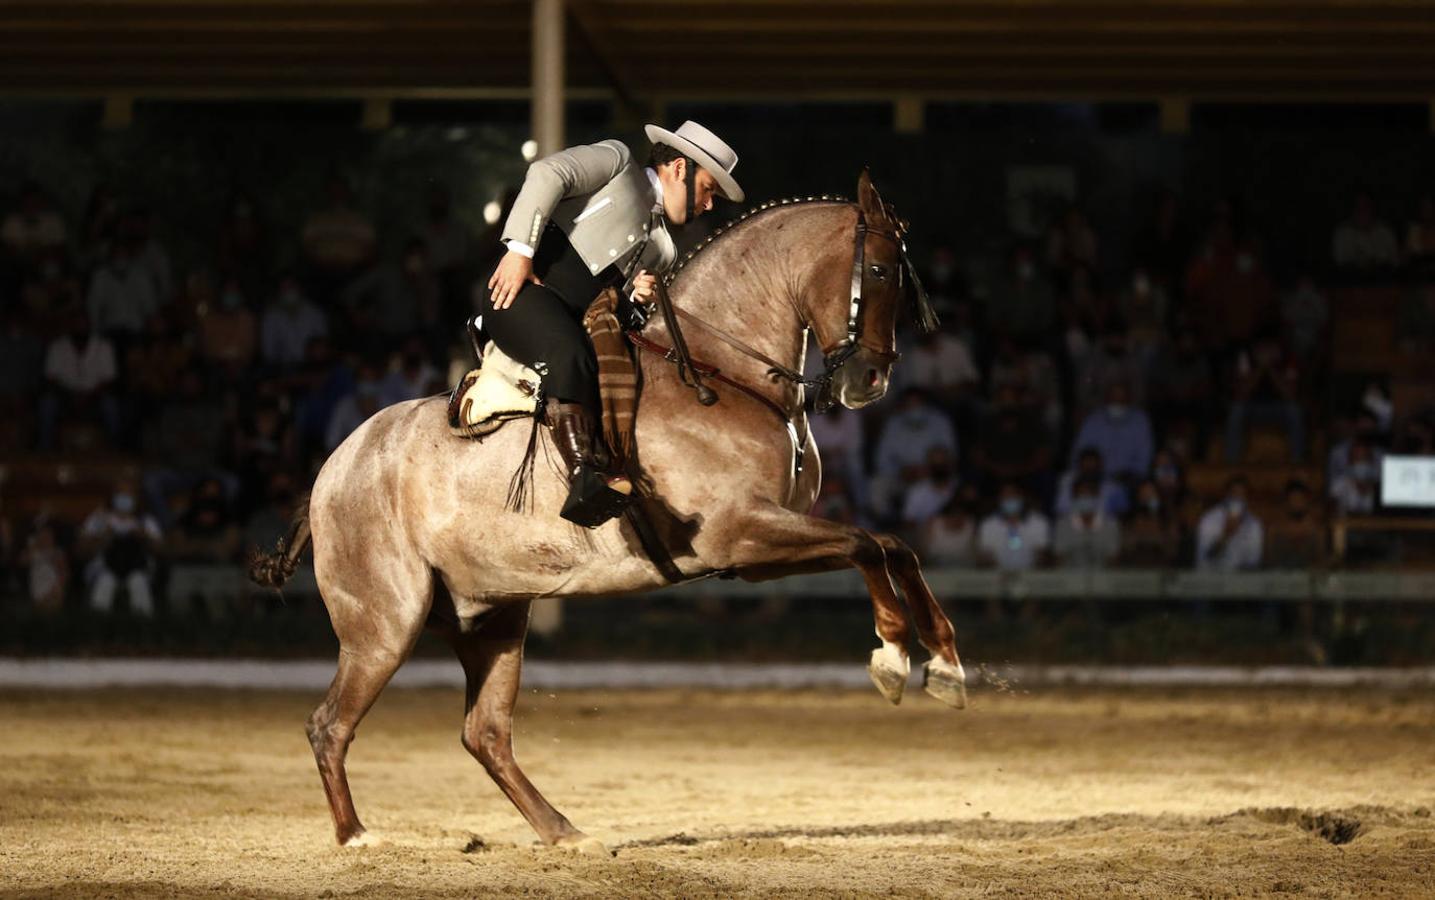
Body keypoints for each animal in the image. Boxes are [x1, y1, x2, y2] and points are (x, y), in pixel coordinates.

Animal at [249, 172, 964, 855]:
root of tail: (332, 469)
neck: (718, 373)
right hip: (385, 626)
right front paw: (893, 658)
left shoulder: (755, 553)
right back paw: (357, 835)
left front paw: (945, 666)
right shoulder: (741, 535)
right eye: (879, 271)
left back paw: (564, 832)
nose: (870, 381)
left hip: (492, 618)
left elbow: (892, 545)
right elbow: (868, 545)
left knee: (485, 734)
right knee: (330, 725)